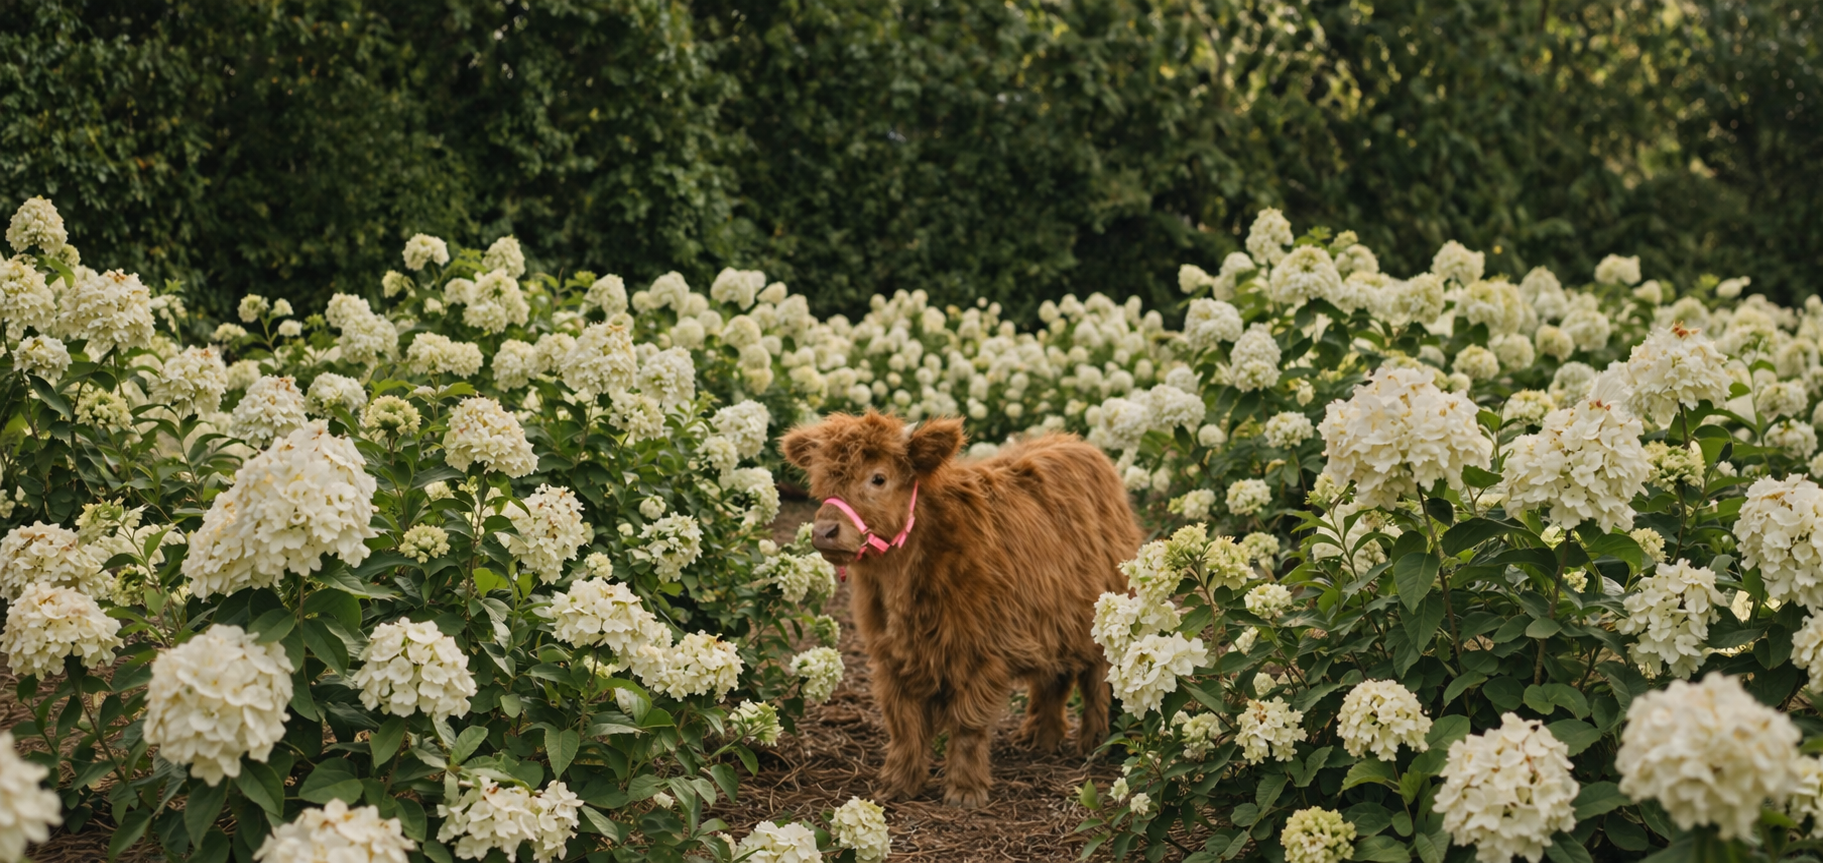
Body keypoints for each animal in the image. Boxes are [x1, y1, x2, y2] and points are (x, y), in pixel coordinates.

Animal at [781, 411, 1141, 808]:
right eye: (823, 480)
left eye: (878, 478)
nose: (824, 531)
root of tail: (1077, 444)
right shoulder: (891, 657)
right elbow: (904, 723)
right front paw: (897, 783)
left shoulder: (980, 651)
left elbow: (967, 723)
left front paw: (965, 791)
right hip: (1052, 618)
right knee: (1054, 679)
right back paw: (1040, 738)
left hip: (1102, 617)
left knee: (1096, 682)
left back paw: (1093, 743)